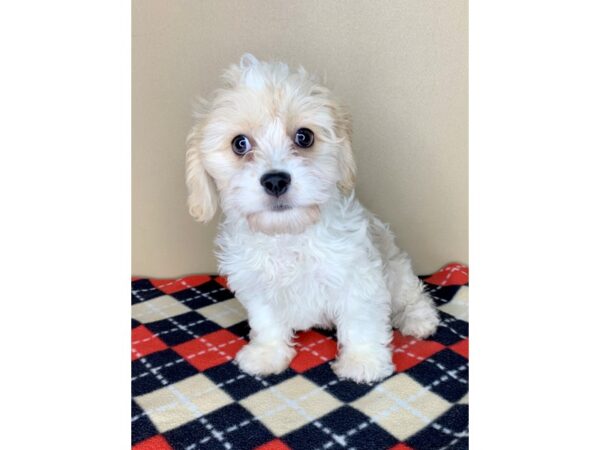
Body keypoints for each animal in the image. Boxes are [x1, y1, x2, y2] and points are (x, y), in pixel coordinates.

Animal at [185, 53, 438, 384]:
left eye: (304, 137)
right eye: (240, 144)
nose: (275, 180)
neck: (289, 235)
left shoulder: (357, 277)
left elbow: (360, 321)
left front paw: (363, 361)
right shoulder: (257, 284)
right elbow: (267, 321)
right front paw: (267, 353)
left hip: (396, 269)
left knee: (411, 295)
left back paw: (419, 319)